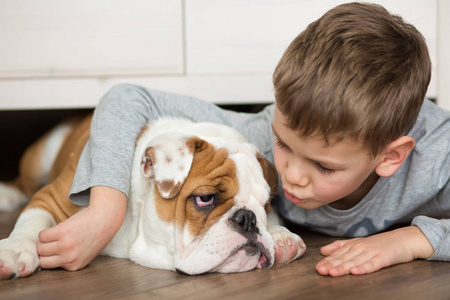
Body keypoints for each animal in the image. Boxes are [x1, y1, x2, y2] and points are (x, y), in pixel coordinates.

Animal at [0, 115, 306, 278]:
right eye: (205, 199)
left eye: (266, 204)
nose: (248, 219)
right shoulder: (52, 196)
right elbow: (31, 222)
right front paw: (14, 250)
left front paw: (280, 235)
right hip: (41, 157)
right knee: (23, 184)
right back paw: (6, 194)